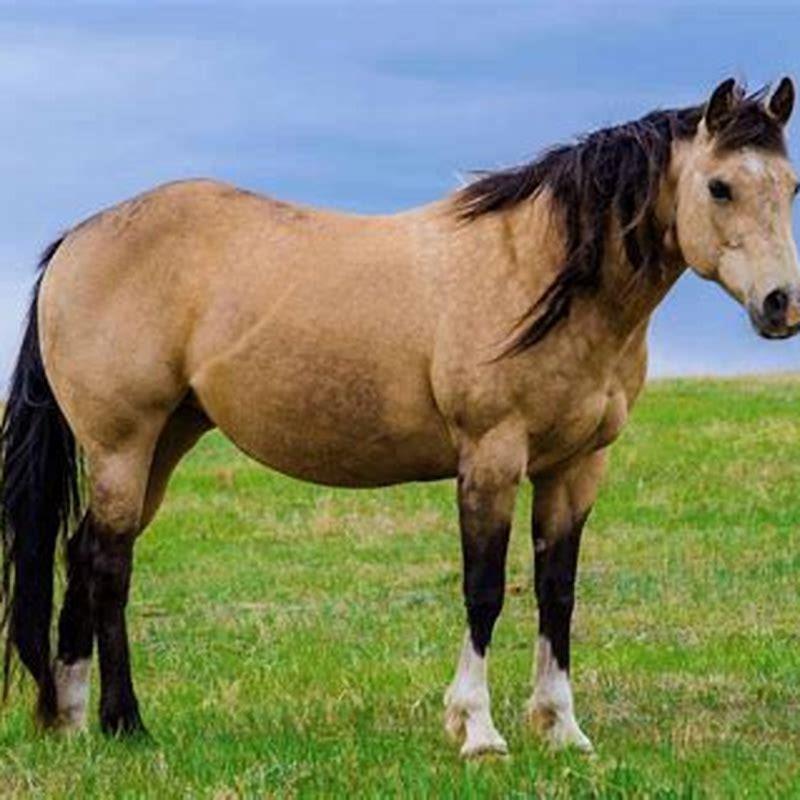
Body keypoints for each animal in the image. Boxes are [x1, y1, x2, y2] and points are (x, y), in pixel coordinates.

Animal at [1, 76, 798, 759]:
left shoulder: (575, 469)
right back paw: (124, 723)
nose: (781, 304)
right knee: (110, 564)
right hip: (123, 444)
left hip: (164, 442)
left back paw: (70, 720)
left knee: (82, 552)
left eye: (790, 186)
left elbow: (557, 592)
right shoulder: (491, 459)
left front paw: (561, 729)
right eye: (720, 186)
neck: (537, 273)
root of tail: (77, 241)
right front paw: (478, 730)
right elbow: (484, 590)